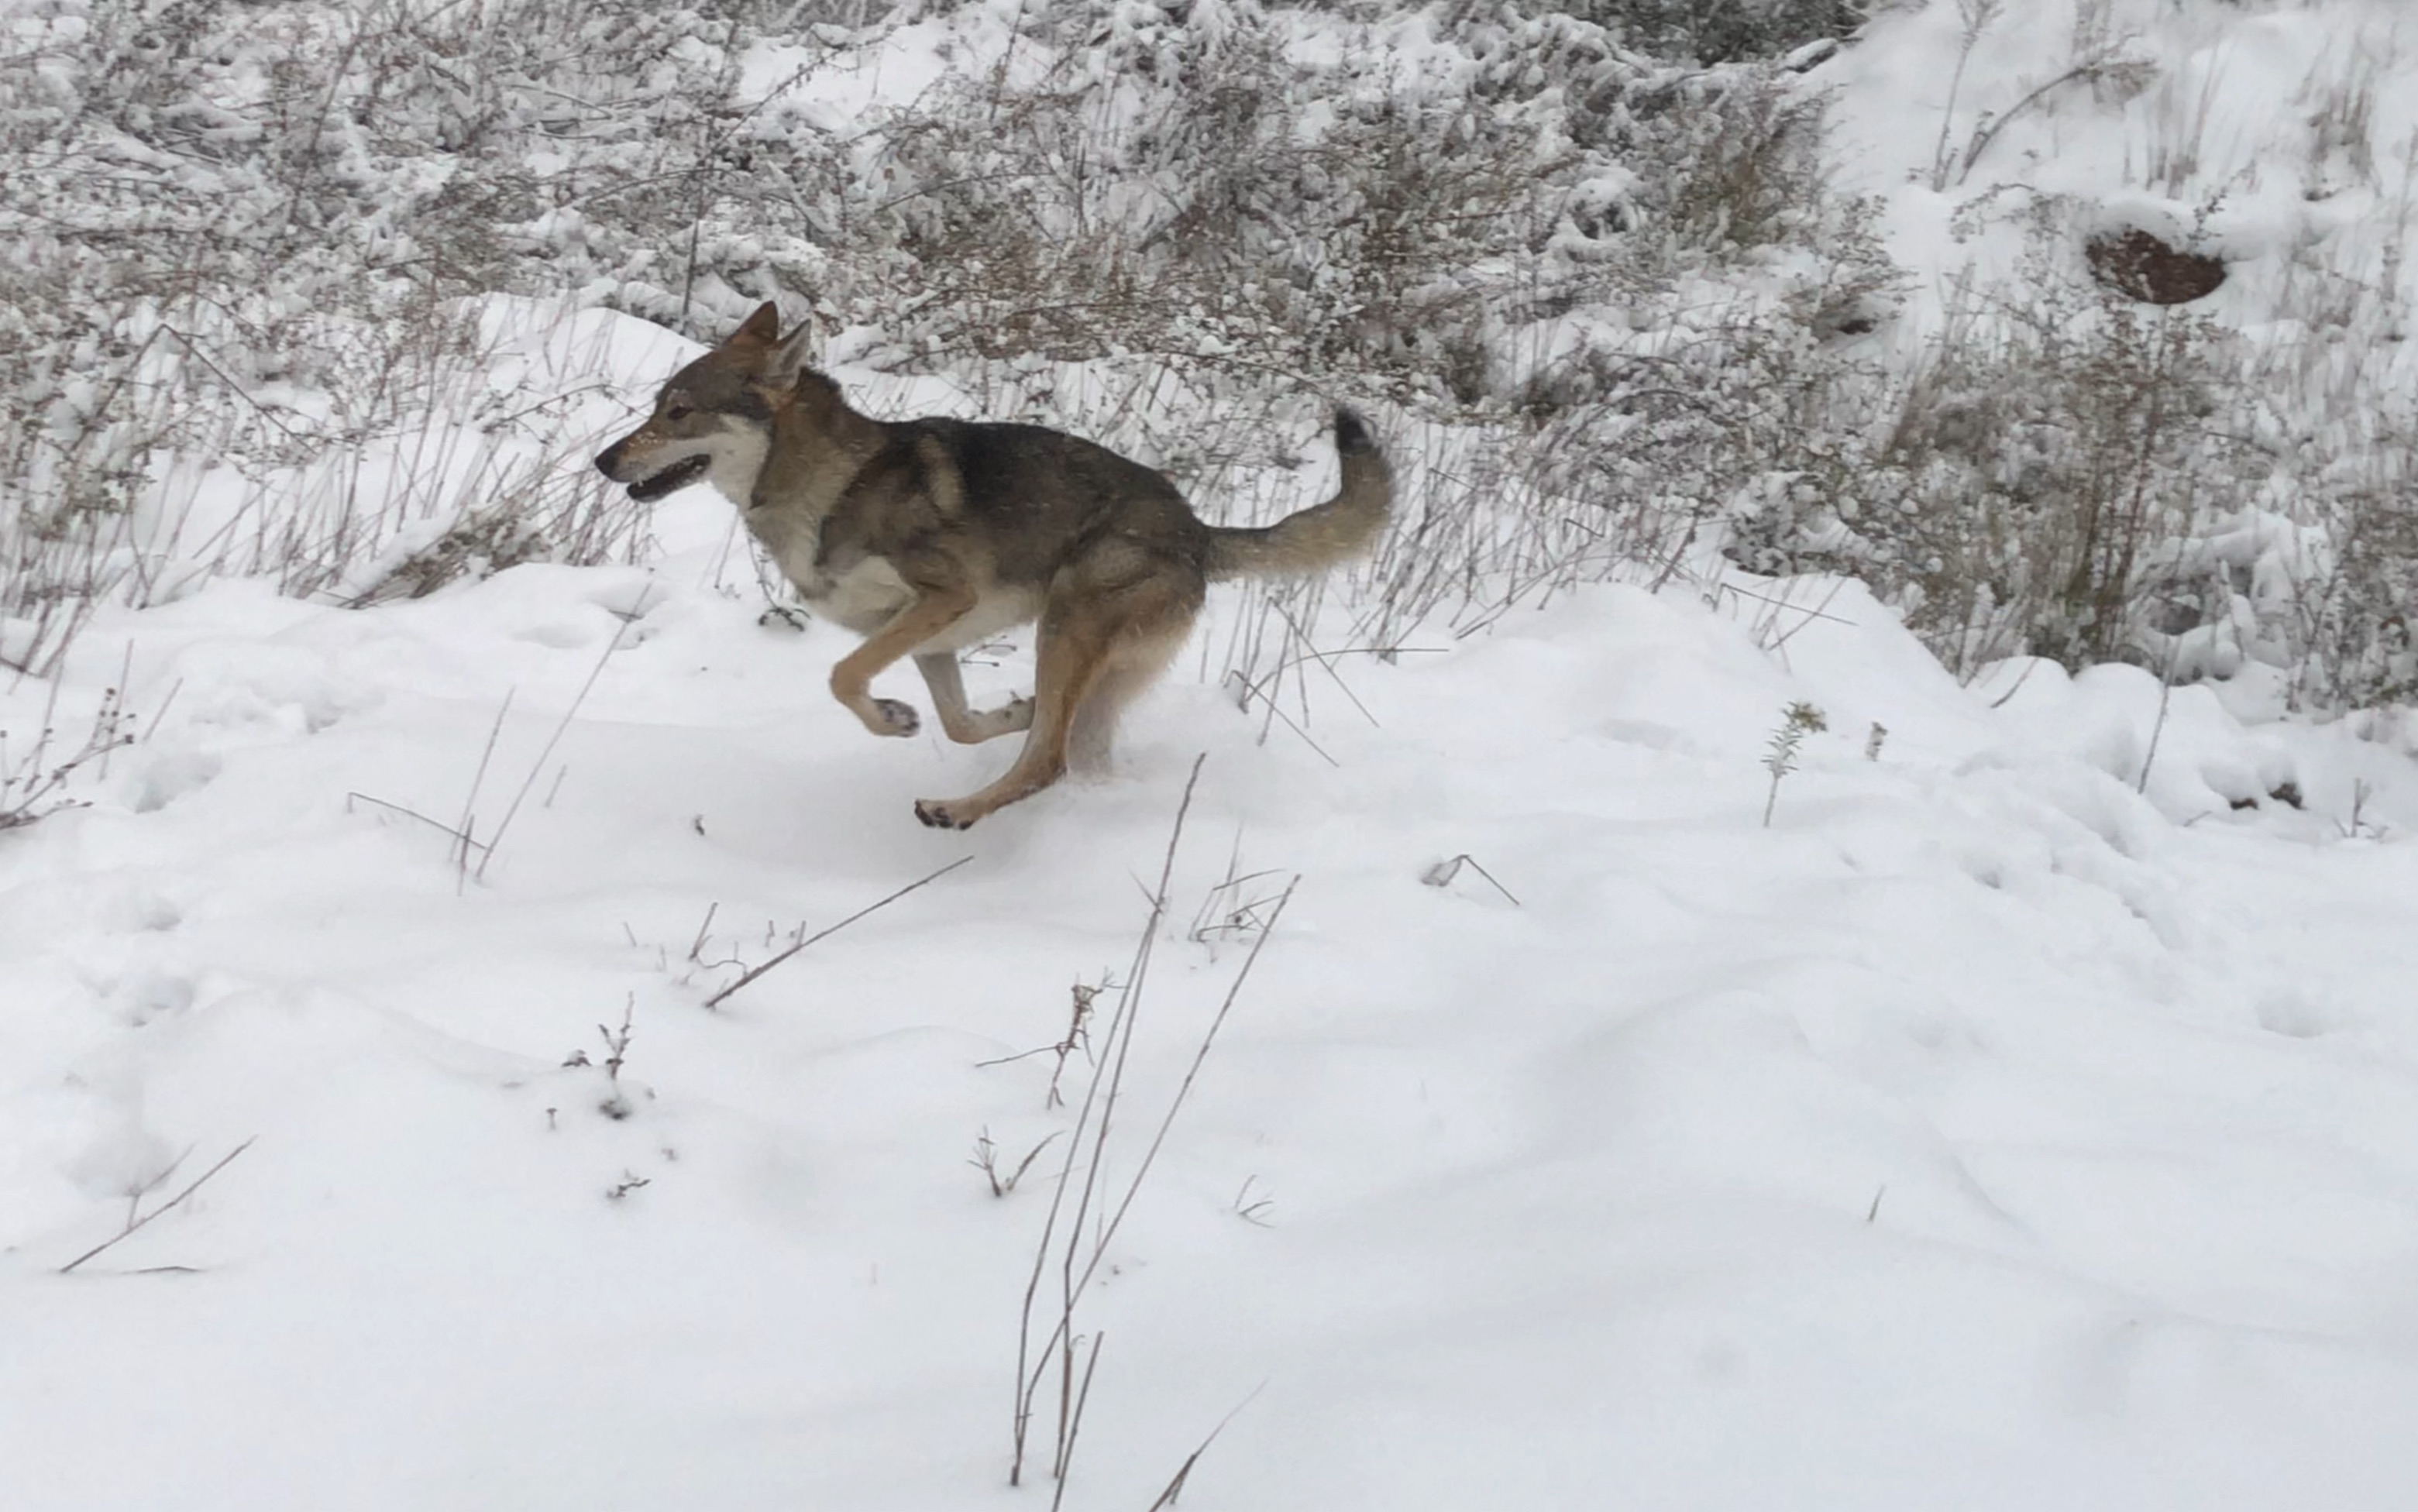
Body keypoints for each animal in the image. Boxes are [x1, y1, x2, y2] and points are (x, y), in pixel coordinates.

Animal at [597, 302, 1402, 832]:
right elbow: (957, 725)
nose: (603, 460)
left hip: (1066, 623)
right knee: (1069, 750)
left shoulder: (940, 598)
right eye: (655, 406)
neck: (826, 486)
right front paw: (955, 714)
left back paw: (956, 811)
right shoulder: (932, 638)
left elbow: (843, 676)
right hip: (1091, 670)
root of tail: (1199, 532)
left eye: (678, 413)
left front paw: (890, 717)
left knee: (1049, 762)